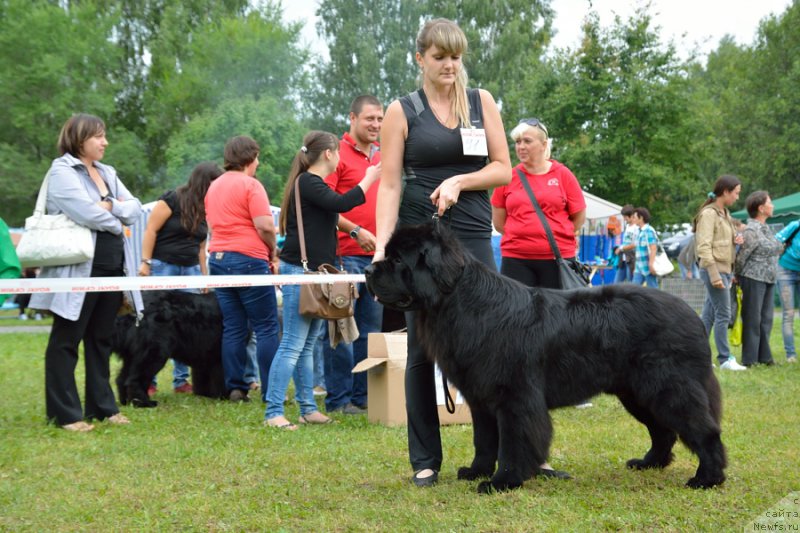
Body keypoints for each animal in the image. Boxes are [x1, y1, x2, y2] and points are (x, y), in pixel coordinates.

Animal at [366, 222, 728, 492]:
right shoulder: (481, 397)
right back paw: (649, 463)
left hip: (668, 387)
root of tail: (691, 314)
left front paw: (502, 481)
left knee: (703, 429)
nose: (369, 270)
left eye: (398, 261)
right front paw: (476, 471)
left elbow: (513, 441)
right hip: (637, 393)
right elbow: (483, 439)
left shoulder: (515, 396)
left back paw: (707, 478)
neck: (460, 302)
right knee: (663, 430)